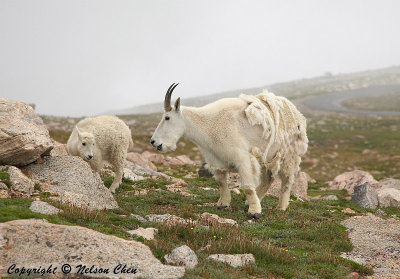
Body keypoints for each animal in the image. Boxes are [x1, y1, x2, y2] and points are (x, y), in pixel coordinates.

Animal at [151, 83, 310, 219]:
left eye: (167, 117)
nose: (153, 142)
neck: (207, 126)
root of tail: (297, 113)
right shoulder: (216, 159)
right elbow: (222, 183)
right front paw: (223, 204)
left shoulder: (242, 157)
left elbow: (247, 186)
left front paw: (255, 212)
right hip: (266, 156)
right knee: (268, 178)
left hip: (289, 154)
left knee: (287, 181)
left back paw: (281, 207)